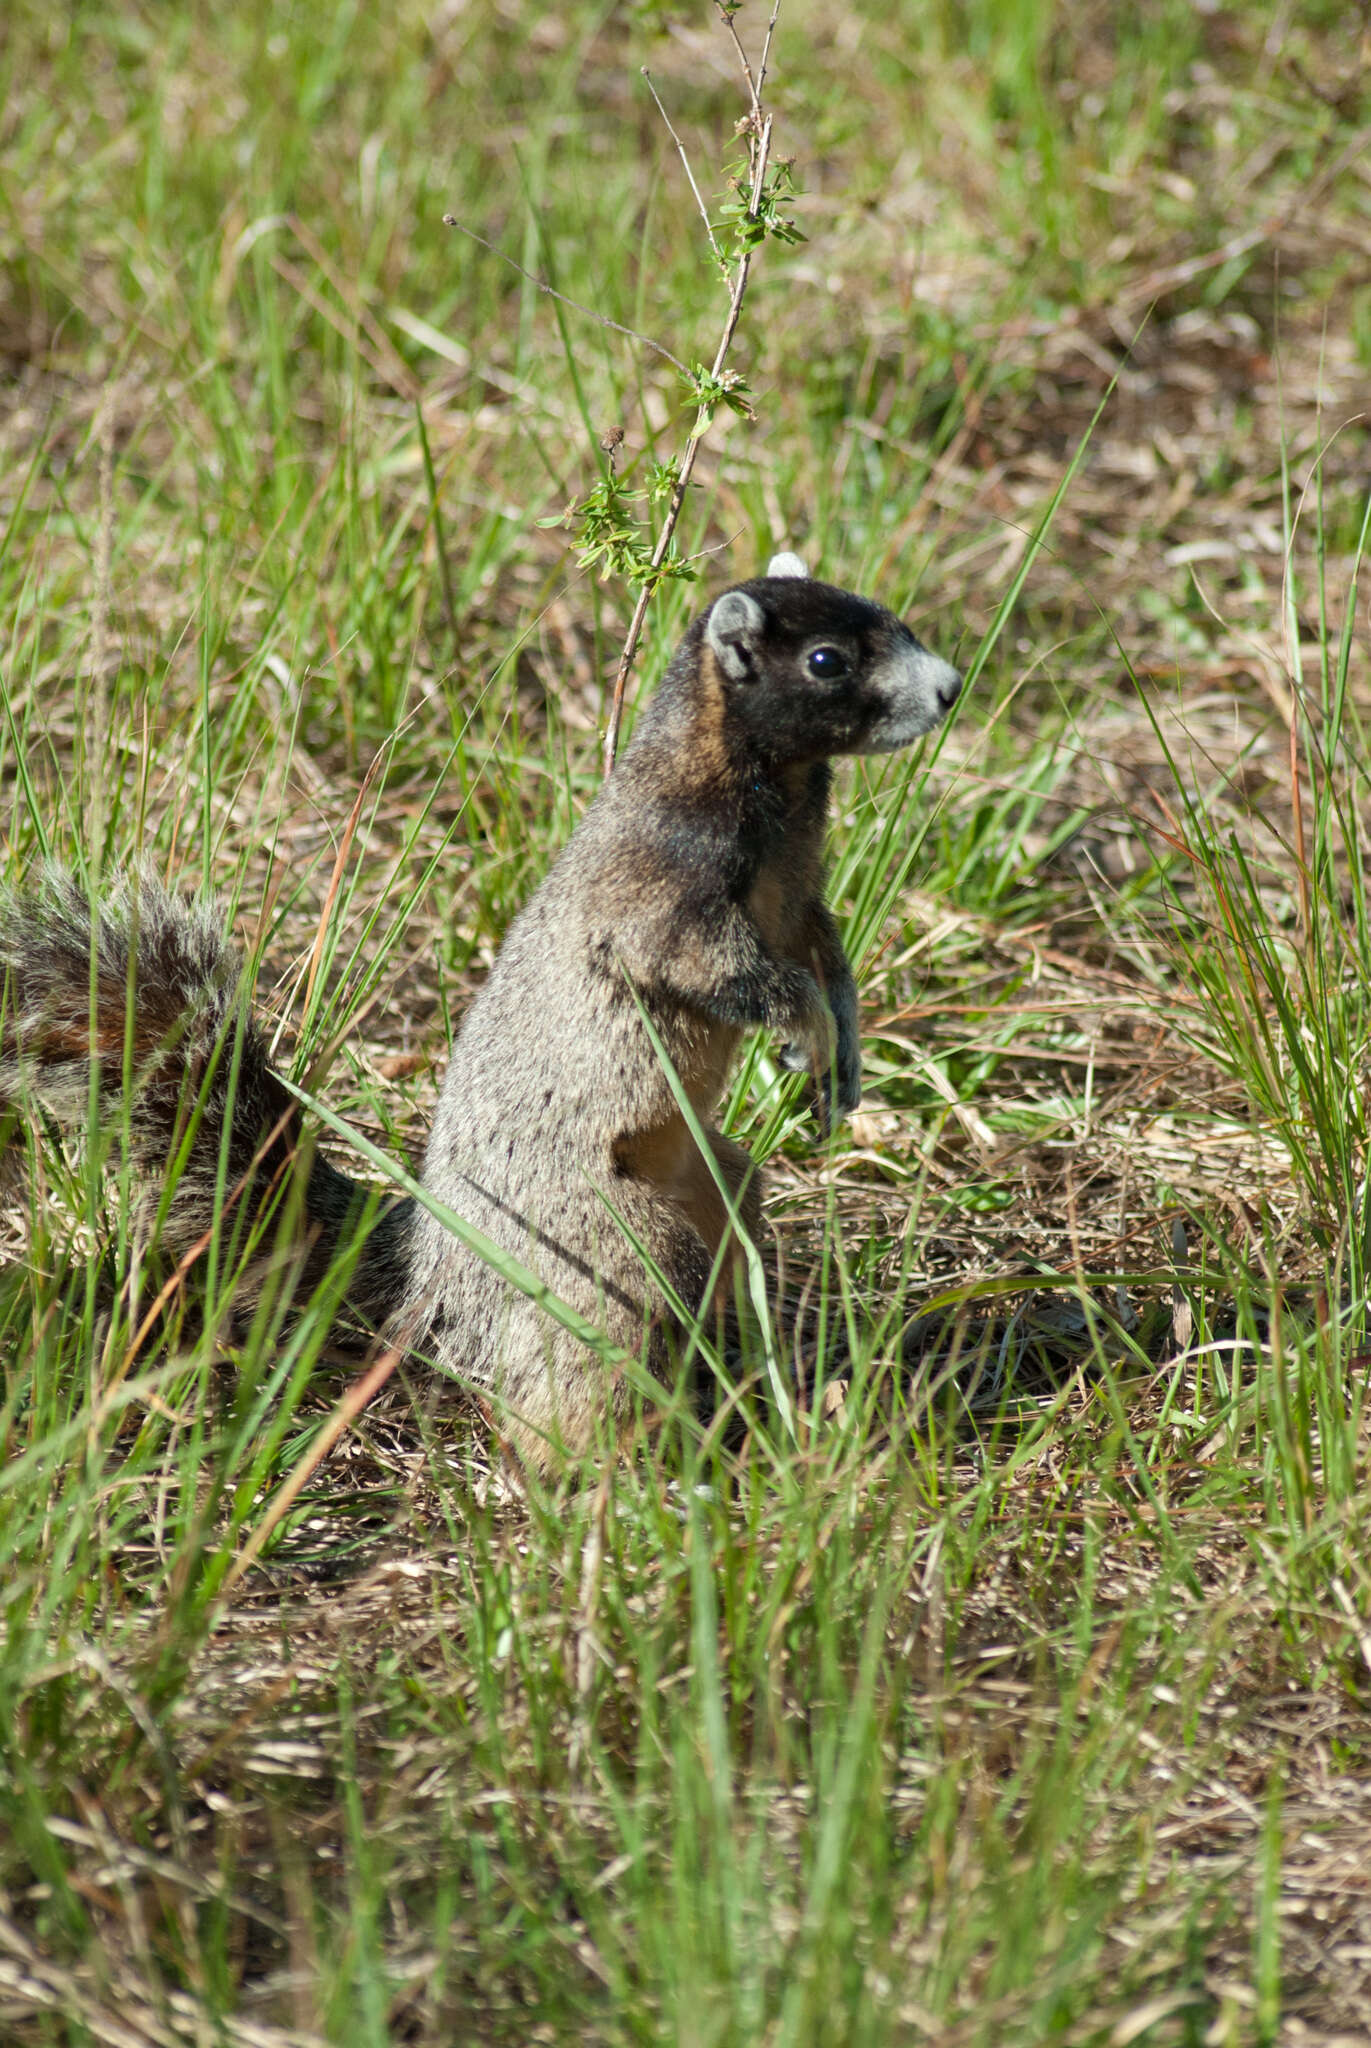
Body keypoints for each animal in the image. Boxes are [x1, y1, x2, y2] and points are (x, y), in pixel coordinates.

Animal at [0, 552, 963, 1466]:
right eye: (826, 660)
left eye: (895, 618)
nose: (951, 687)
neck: (775, 791)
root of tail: (432, 1265)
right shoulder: (661, 895)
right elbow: (733, 972)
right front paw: (805, 1028)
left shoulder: (798, 892)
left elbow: (824, 955)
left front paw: (844, 1055)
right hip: (604, 1248)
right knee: (586, 1363)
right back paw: (615, 1464)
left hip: (715, 1187)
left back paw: (748, 1371)